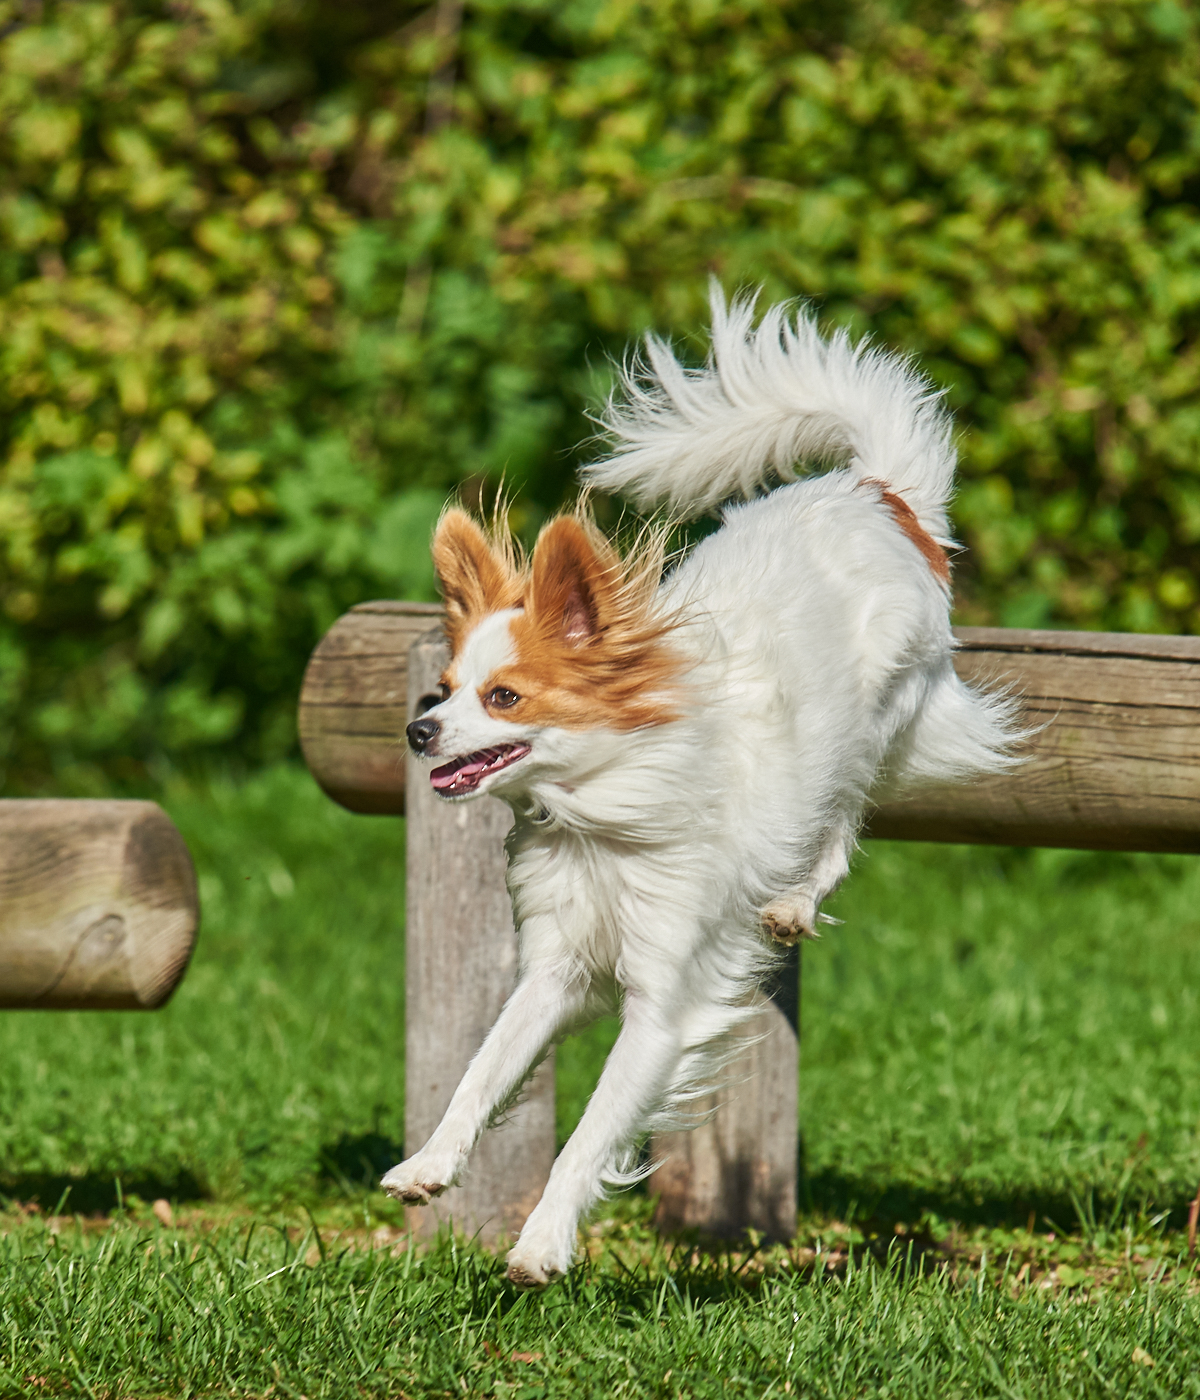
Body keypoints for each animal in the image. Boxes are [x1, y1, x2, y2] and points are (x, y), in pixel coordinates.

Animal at [378, 287, 1013, 1288]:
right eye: (439, 691)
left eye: (504, 696)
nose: (418, 731)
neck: (599, 815)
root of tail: (878, 495)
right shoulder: (554, 971)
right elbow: (483, 1070)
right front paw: (432, 1163)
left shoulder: (662, 1007)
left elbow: (589, 1134)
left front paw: (542, 1242)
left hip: (870, 726)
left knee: (841, 823)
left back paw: (793, 901)